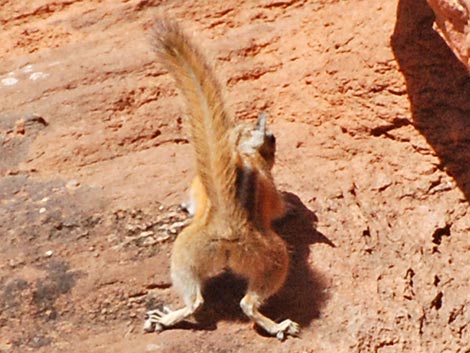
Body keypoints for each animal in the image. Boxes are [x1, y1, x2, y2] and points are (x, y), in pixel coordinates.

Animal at [143, 18, 300, 338]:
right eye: (273, 139)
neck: (239, 149)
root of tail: (227, 223)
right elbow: (280, 207)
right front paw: (293, 206)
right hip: (265, 260)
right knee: (238, 304)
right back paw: (281, 326)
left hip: (192, 258)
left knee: (206, 302)